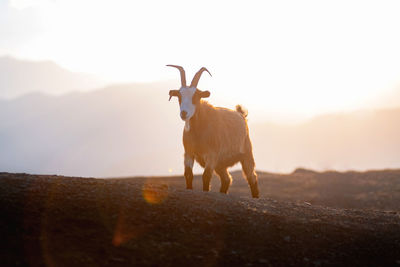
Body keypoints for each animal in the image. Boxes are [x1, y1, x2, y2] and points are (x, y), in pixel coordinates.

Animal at [168, 65, 260, 199]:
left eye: (196, 96)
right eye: (179, 96)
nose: (184, 113)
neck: (199, 131)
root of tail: (241, 115)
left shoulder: (211, 155)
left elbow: (206, 176)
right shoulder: (189, 153)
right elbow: (188, 174)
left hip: (246, 155)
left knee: (252, 177)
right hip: (220, 164)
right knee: (227, 179)